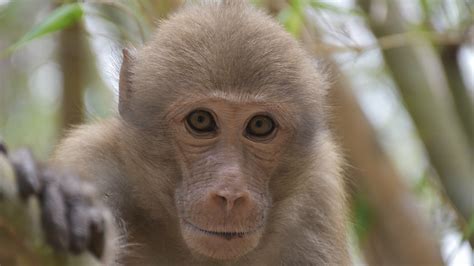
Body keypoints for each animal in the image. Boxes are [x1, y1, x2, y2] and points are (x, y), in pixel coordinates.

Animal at [16, 1, 350, 264]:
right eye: (201, 120)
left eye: (259, 126)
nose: (231, 194)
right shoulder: (91, 160)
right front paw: (63, 195)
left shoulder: (318, 197)